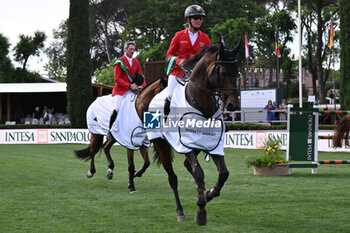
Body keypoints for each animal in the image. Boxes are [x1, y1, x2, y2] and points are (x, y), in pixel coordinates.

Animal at [152, 42, 241, 225]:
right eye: (223, 72)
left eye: (237, 72)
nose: (233, 105)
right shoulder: (186, 146)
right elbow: (199, 173)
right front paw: (201, 211)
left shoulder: (212, 145)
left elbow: (223, 173)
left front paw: (208, 194)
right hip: (162, 146)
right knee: (173, 178)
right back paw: (180, 211)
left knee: (188, 167)